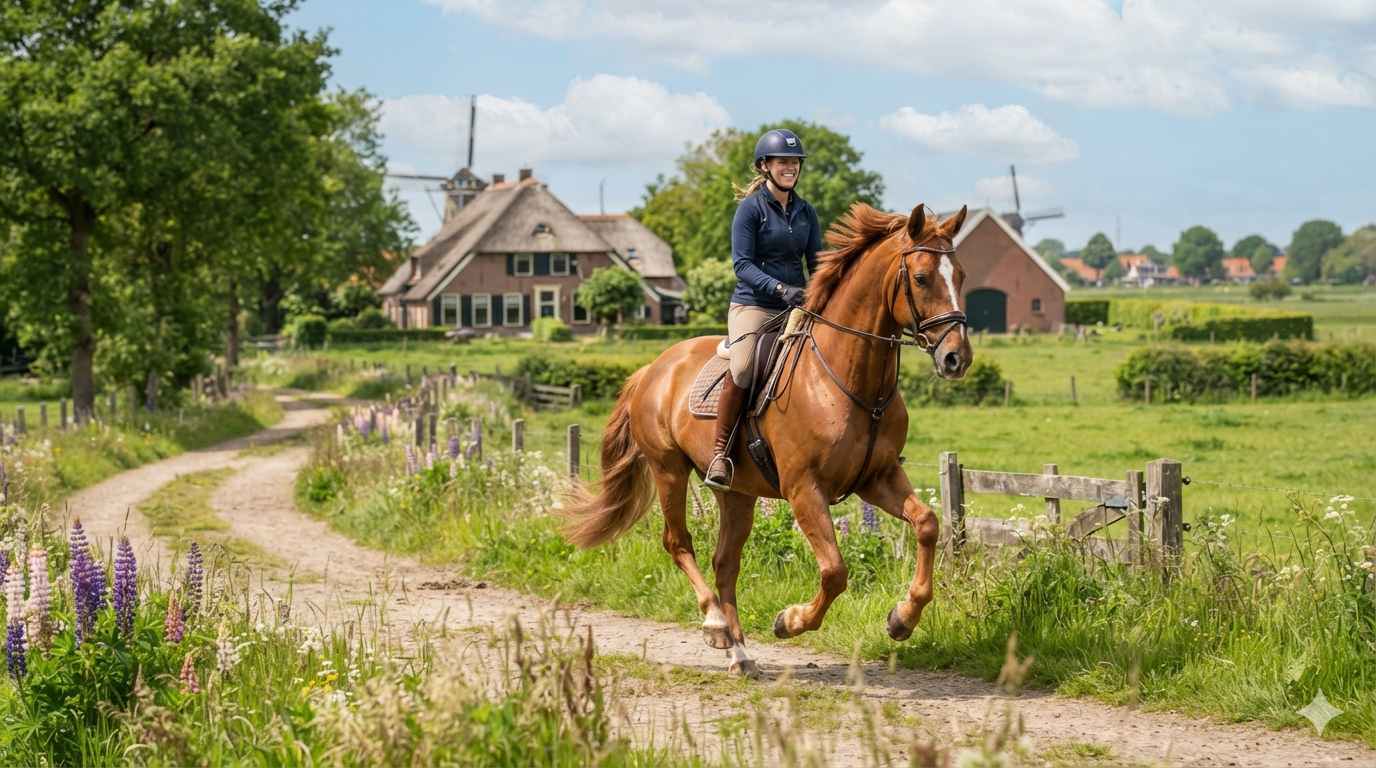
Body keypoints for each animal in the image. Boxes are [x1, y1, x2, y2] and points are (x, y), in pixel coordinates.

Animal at [560, 203, 973, 676]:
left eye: (961, 275)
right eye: (921, 278)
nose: (957, 358)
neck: (849, 380)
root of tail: (653, 367)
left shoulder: (878, 477)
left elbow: (927, 523)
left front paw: (902, 619)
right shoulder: (803, 488)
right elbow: (835, 571)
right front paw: (789, 621)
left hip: (737, 492)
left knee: (725, 563)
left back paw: (741, 654)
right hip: (669, 471)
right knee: (678, 543)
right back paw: (715, 625)